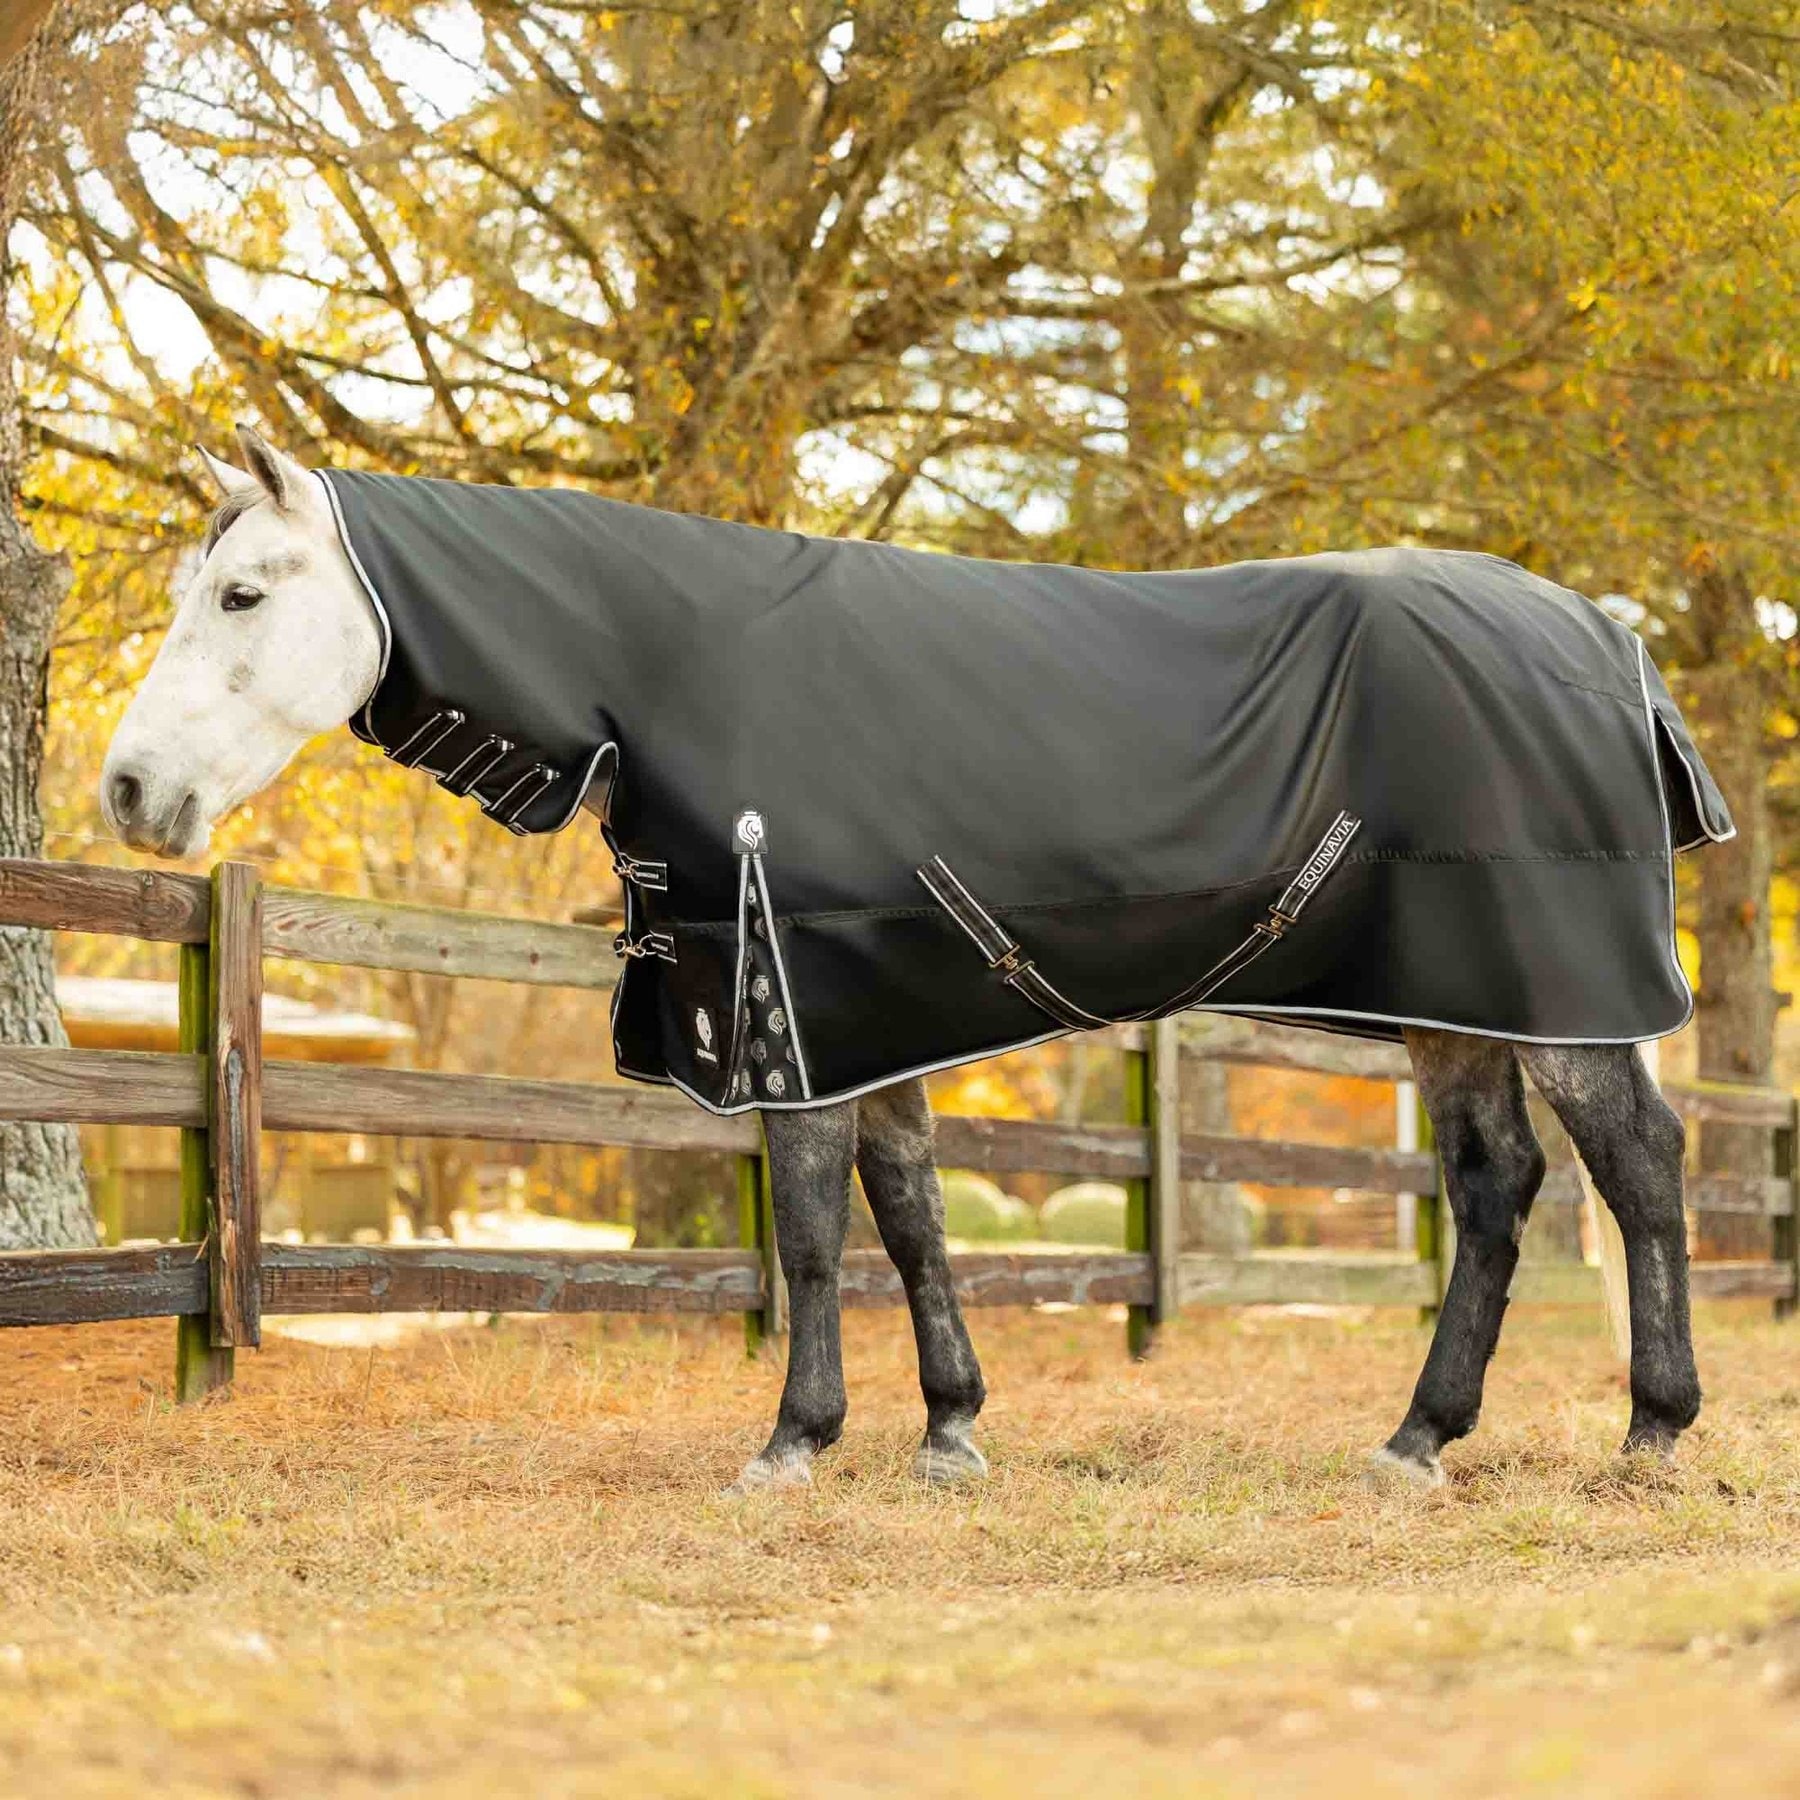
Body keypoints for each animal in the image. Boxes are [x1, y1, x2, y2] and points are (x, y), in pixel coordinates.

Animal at [101, 425, 1715, 1493]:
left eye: (241, 594)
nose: (126, 792)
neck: (676, 668)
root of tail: (1611, 644)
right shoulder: (875, 1017)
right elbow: (917, 1218)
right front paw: (950, 1428)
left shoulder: (794, 1018)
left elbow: (818, 1235)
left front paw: (794, 1440)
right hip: (1461, 1009)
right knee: (1496, 1188)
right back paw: (1420, 1436)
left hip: (1564, 1001)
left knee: (1637, 1166)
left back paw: (1652, 1426)